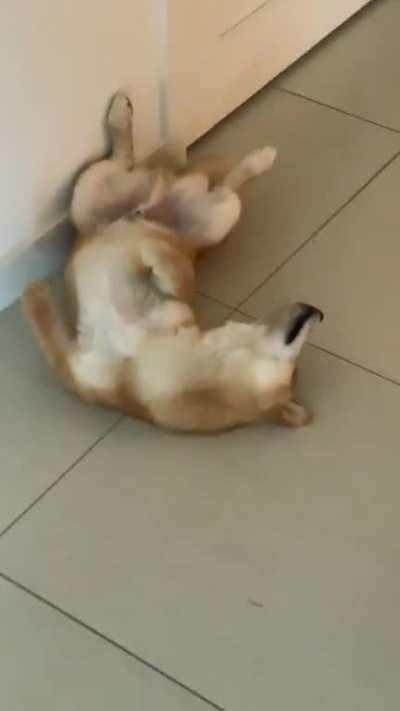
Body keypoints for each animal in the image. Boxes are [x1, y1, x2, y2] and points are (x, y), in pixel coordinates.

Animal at [22, 92, 323, 432]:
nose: (316, 310)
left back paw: (256, 161)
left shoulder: (174, 305)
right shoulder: (79, 366)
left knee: (225, 185)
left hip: (220, 214)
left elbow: (176, 276)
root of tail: (167, 186)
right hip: (90, 191)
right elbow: (49, 334)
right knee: (132, 159)